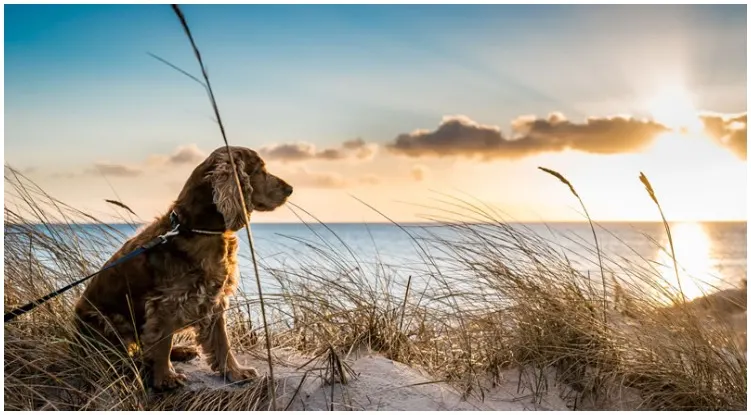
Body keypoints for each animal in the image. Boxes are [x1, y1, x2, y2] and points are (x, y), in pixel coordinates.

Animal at [72, 146, 290, 390]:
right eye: (260, 170)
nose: (290, 189)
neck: (197, 229)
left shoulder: (214, 297)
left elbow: (222, 341)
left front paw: (235, 371)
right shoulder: (166, 302)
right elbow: (162, 342)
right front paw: (166, 377)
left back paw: (182, 350)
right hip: (109, 321)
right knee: (124, 355)